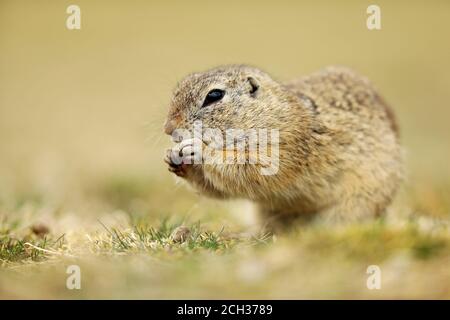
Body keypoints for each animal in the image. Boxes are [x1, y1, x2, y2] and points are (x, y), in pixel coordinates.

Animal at [163, 64, 402, 228]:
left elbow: (247, 169)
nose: (168, 128)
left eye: (214, 95)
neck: (268, 115)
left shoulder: (284, 147)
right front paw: (173, 159)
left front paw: (197, 149)